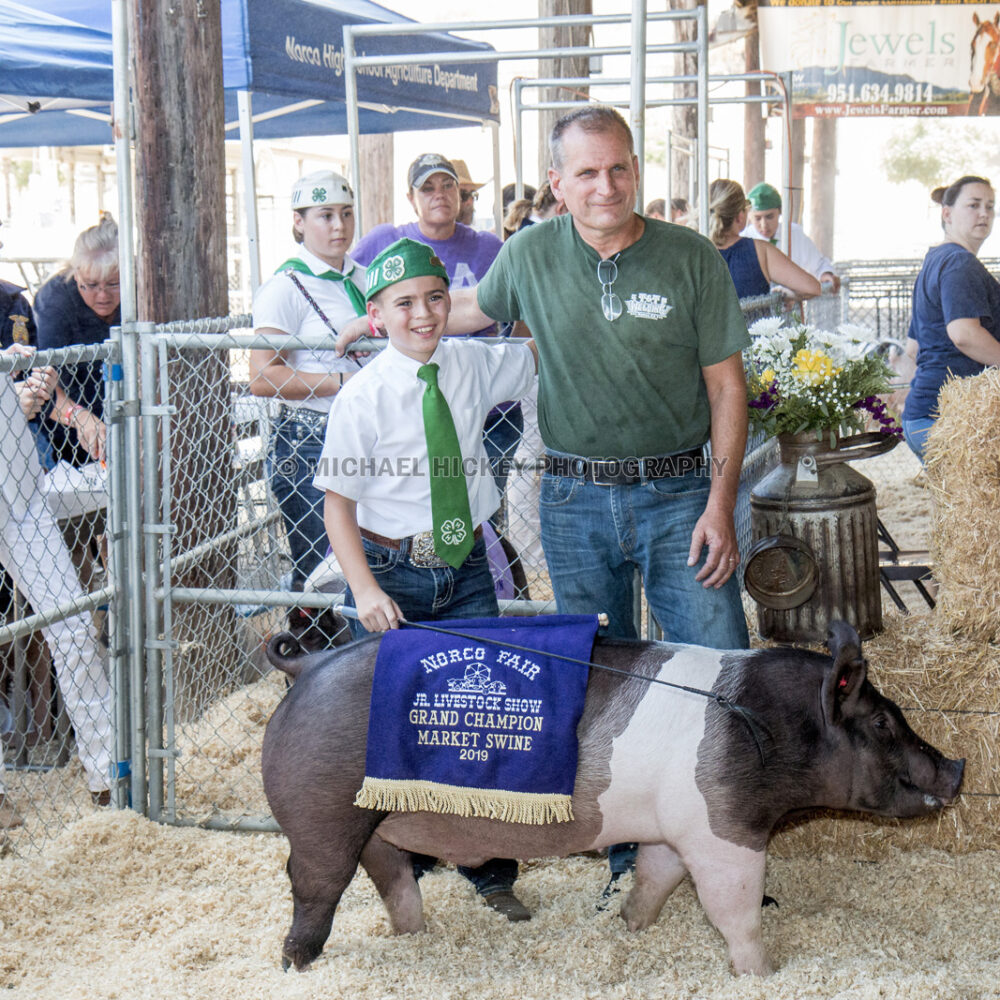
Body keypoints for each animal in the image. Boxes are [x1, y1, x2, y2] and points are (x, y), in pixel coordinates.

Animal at [262, 620, 964, 972]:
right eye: (882, 723)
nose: (956, 768)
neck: (772, 729)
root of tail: (307, 664)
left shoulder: (675, 829)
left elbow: (654, 878)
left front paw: (630, 929)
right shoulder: (724, 827)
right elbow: (735, 909)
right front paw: (762, 975)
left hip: (374, 820)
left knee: (392, 878)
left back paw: (414, 938)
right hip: (320, 813)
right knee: (314, 883)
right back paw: (296, 964)